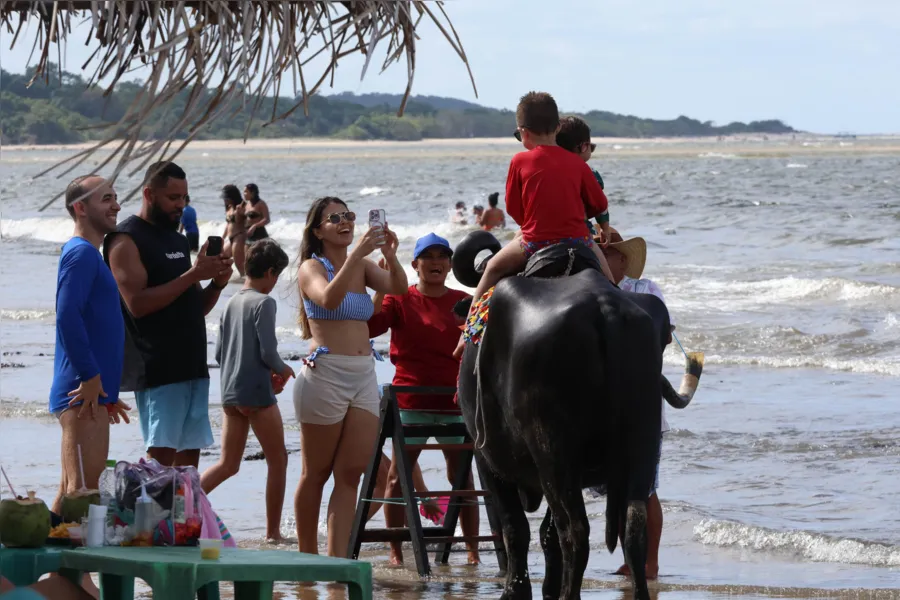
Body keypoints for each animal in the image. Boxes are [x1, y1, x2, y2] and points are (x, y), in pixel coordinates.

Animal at [454, 231, 700, 600]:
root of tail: (605, 310)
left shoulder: (486, 457)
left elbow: (517, 528)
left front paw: (517, 591)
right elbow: (545, 534)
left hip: (553, 451)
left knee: (574, 531)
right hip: (641, 440)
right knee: (634, 524)